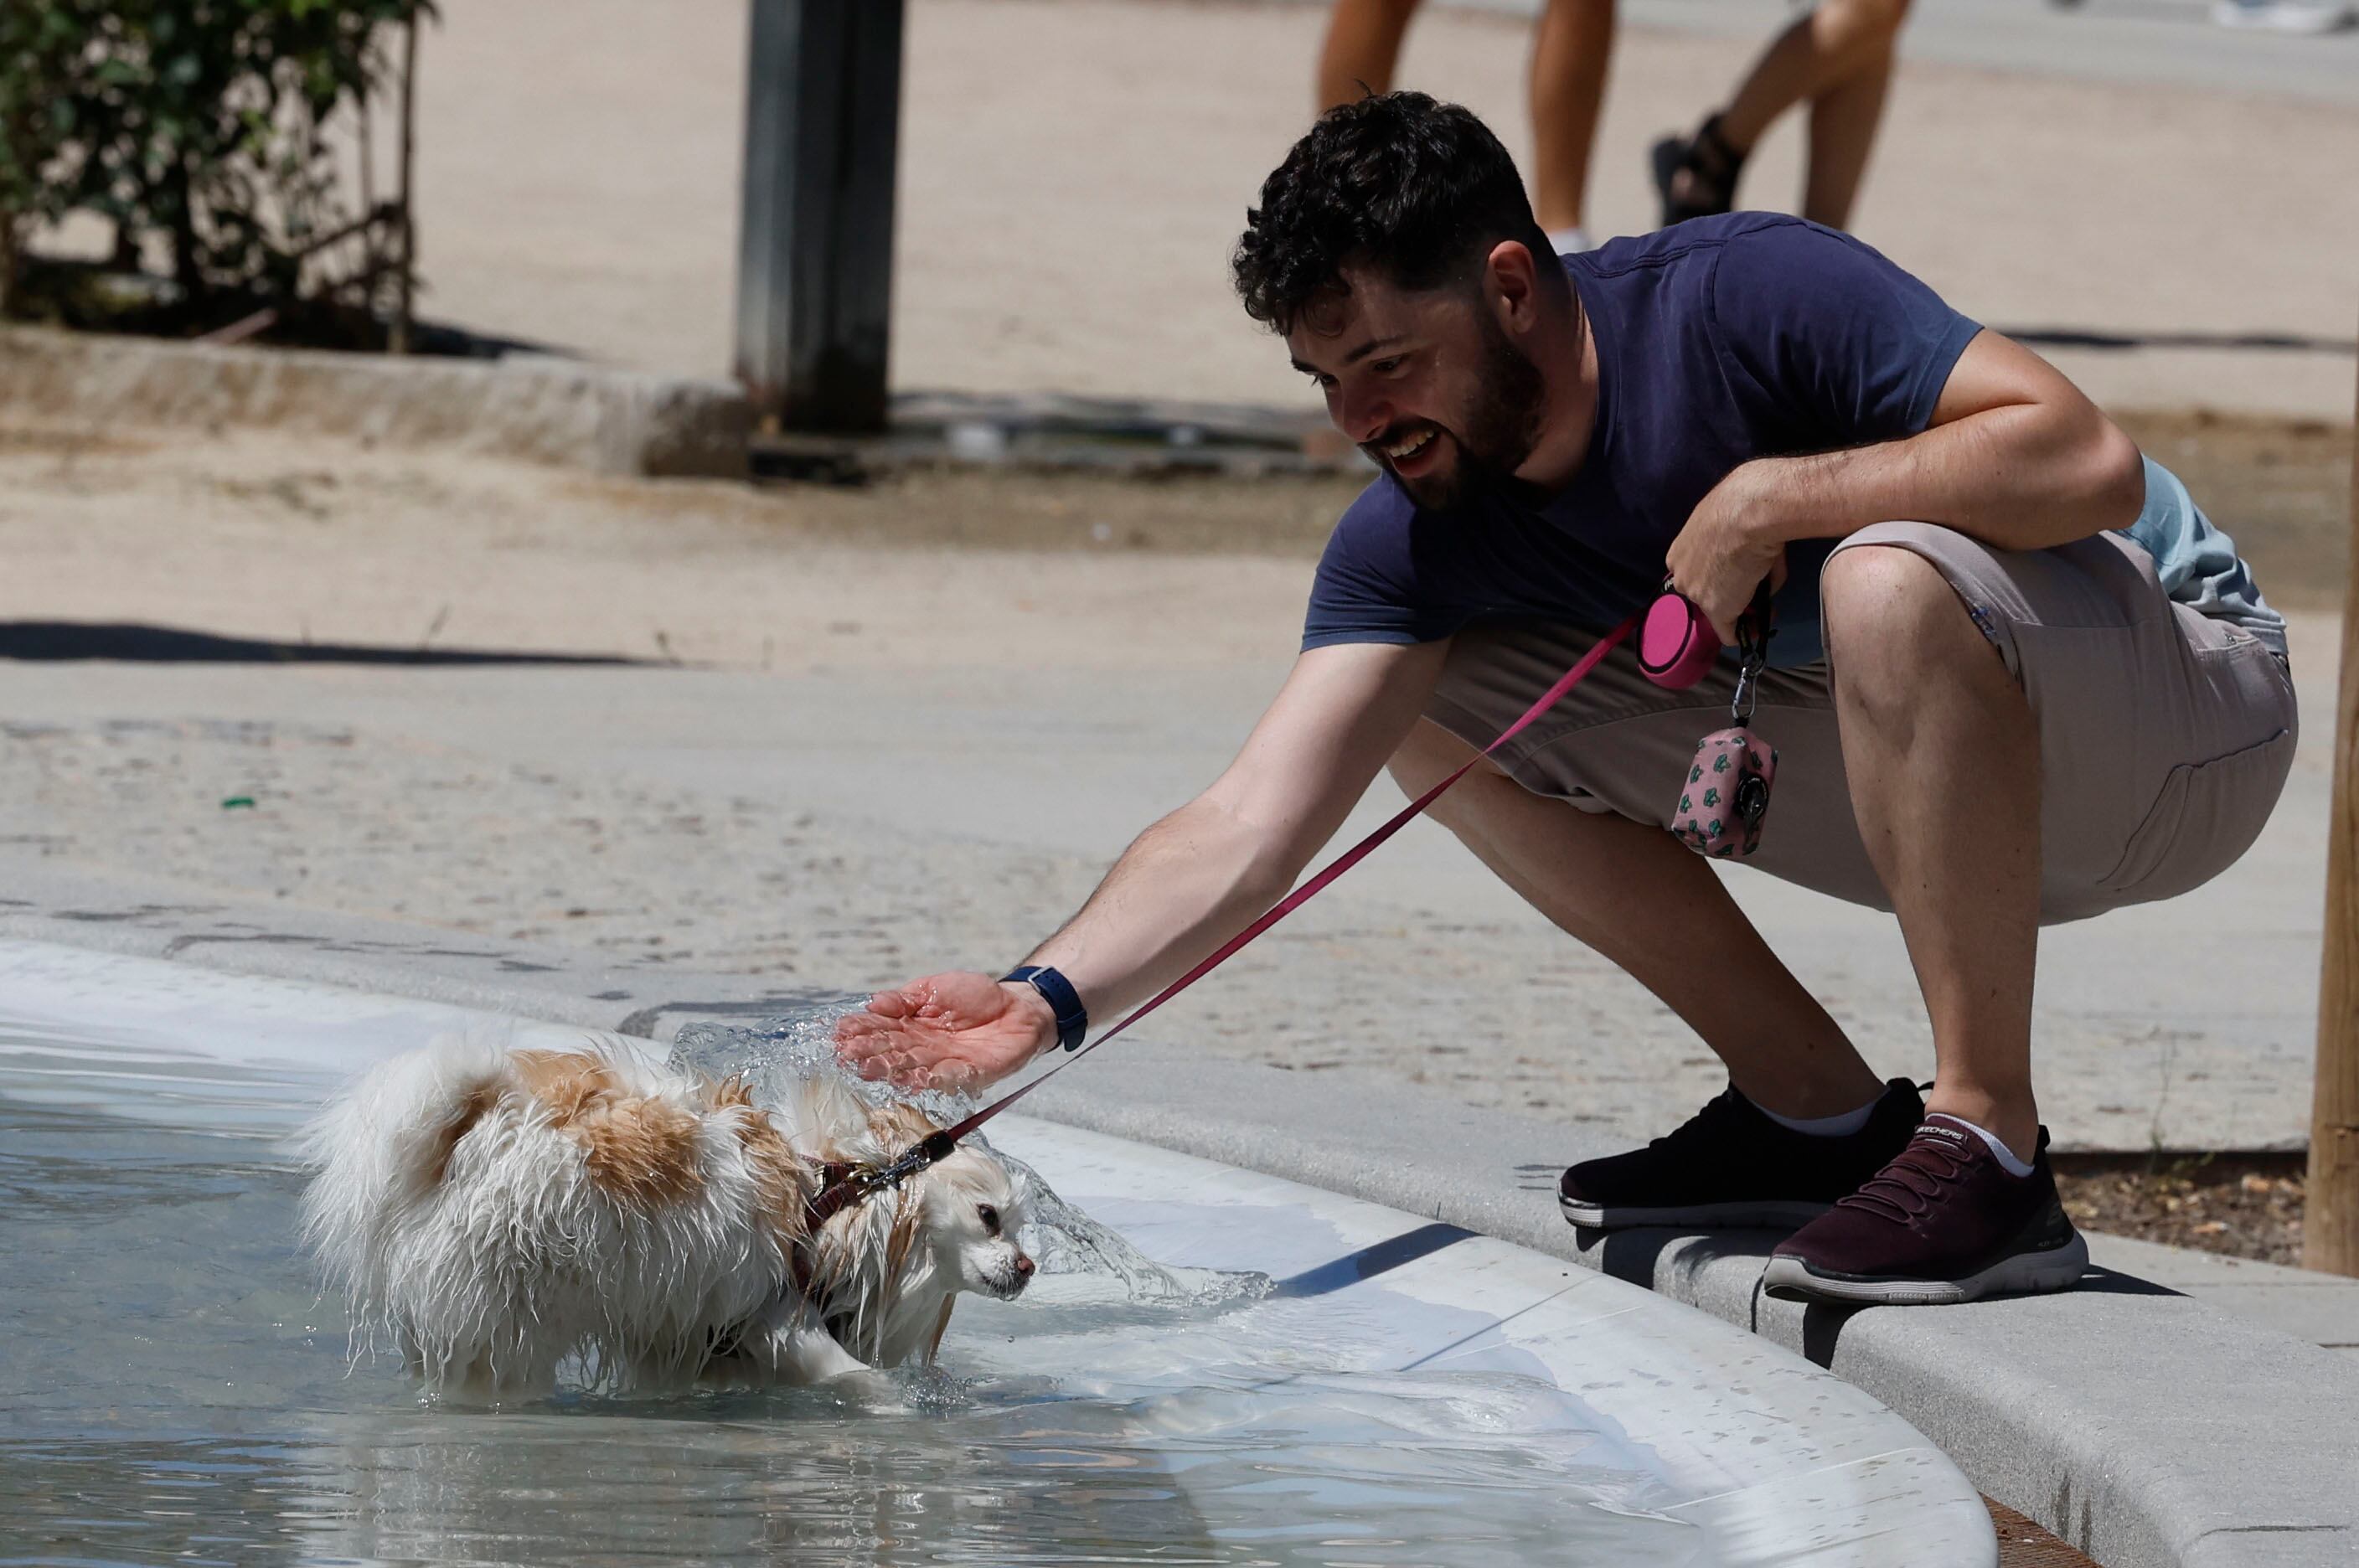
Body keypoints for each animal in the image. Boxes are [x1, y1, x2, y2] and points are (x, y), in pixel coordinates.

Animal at [297, 1037, 1033, 1395]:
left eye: (1021, 1227)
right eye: (988, 1217)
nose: (1027, 1267)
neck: (847, 1202)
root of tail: (480, 1129)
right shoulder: (783, 1321)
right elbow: (864, 1381)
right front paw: (901, 1410)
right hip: (507, 1320)